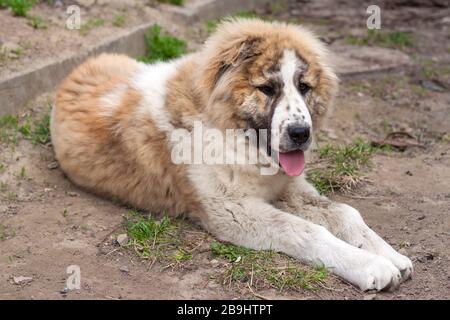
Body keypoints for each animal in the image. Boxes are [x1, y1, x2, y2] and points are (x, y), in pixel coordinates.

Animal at [51, 18, 414, 292]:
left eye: (304, 87)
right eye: (267, 89)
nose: (301, 133)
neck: (234, 137)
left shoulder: (287, 188)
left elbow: (345, 212)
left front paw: (390, 254)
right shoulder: (233, 211)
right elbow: (308, 231)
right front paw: (370, 265)